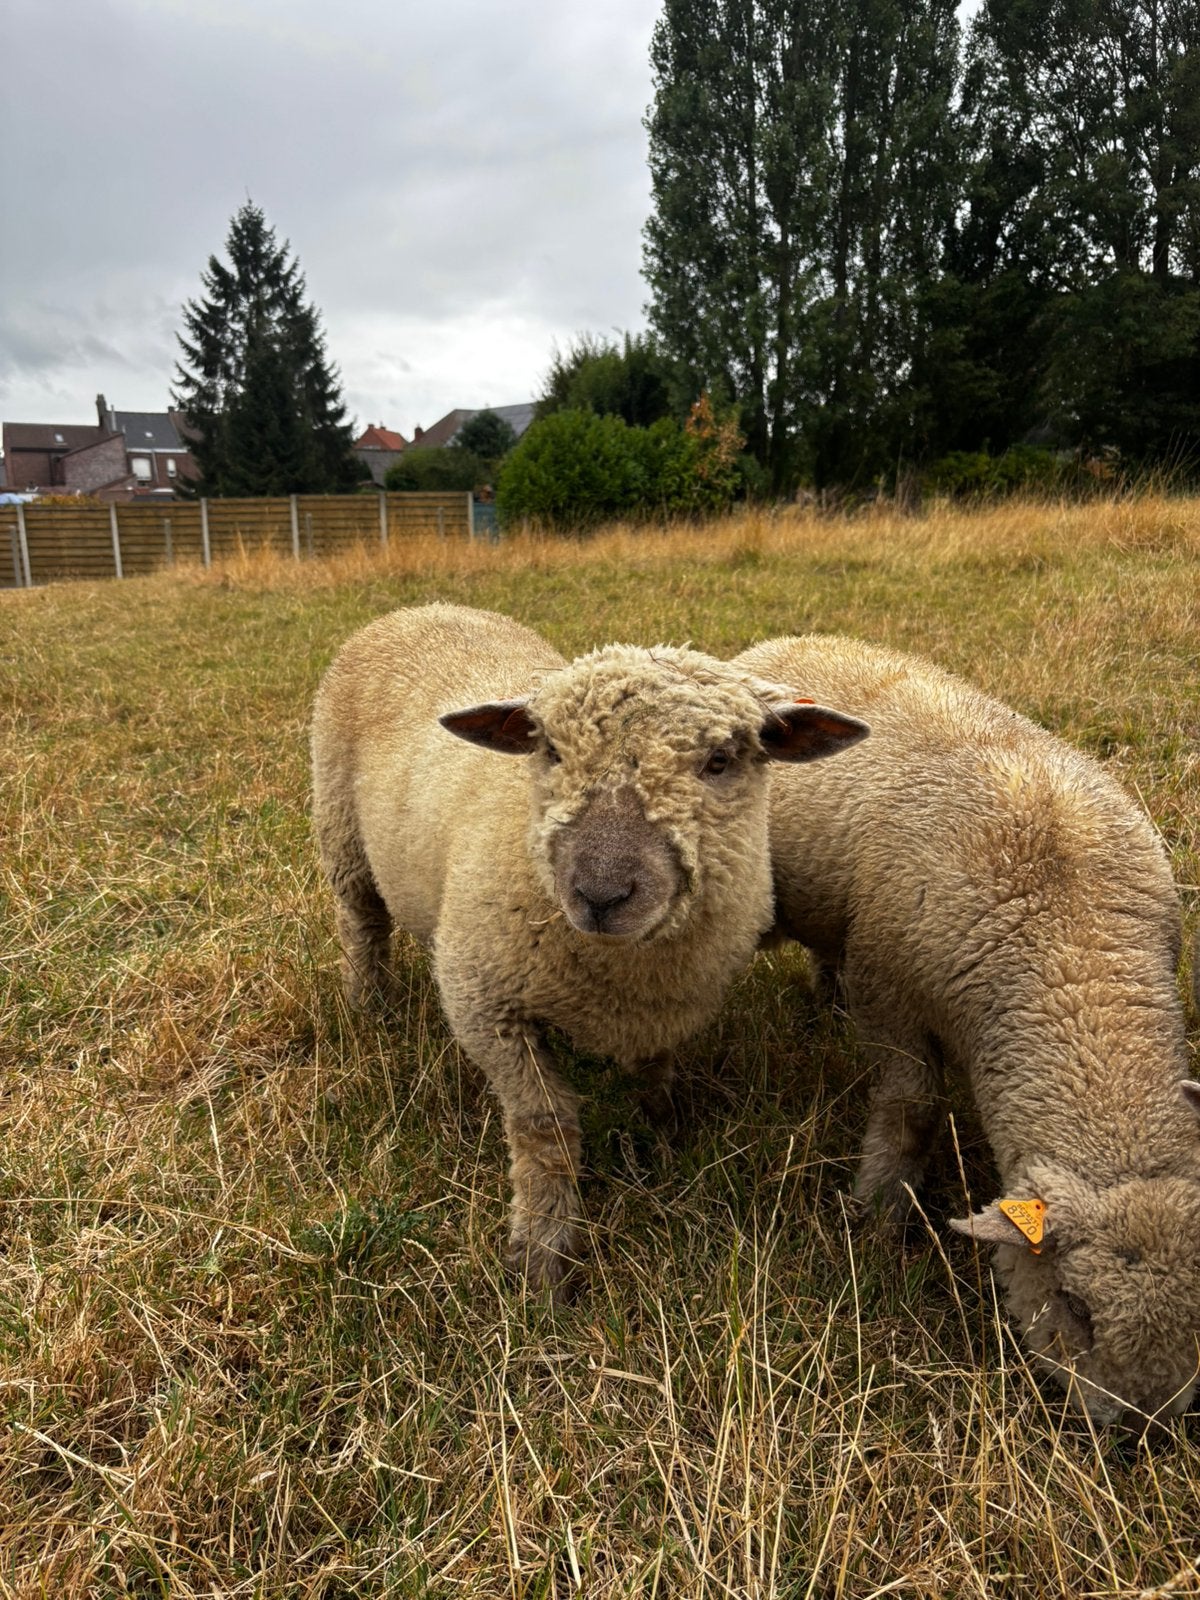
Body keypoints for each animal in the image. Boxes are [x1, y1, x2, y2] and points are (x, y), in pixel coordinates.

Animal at [311, 604, 868, 1297]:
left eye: (719, 760)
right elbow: (546, 1128)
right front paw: (542, 1252)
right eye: (550, 750)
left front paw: (661, 1139)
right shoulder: (486, 1005)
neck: (620, 969)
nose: (601, 894)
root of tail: (421, 608)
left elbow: (655, 1076)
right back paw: (370, 1007)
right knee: (363, 926)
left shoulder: (666, 1009)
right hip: (341, 831)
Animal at [732, 632, 1200, 1427]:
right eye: (1073, 1303)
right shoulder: (890, 994)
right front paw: (880, 1218)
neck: (1072, 955)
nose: (1141, 1430)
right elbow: (911, 1114)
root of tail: (787, 638)